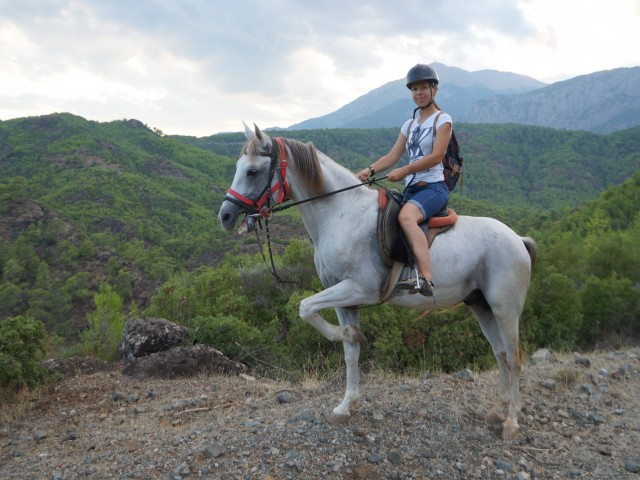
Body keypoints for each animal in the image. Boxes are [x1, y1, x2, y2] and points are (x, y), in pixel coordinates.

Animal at [219, 123, 536, 438]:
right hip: (481, 306)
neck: (341, 215)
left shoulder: (359, 289)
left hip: (505, 309)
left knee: (514, 356)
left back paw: (511, 422)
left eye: (252, 171)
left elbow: (305, 307)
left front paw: (340, 336)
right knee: (500, 354)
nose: (225, 215)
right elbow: (350, 351)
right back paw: (496, 411)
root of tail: (518, 239)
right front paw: (345, 403)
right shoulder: (344, 299)